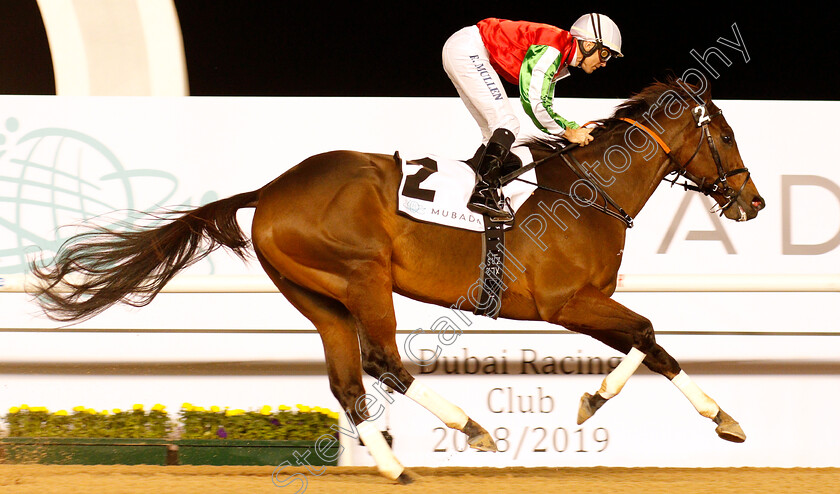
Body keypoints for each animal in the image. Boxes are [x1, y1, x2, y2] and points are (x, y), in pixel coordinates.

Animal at [29, 79, 760, 484]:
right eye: (724, 135)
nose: (752, 203)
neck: (588, 193)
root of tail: (270, 190)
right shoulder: (566, 302)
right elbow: (646, 332)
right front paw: (595, 401)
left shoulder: (586, 303)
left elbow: (650, 343)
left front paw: (724, 420)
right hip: (363, 278)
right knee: (384, 361)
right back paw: (470, 429)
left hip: (318, 296)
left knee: (348, 380)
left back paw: (394, 466)